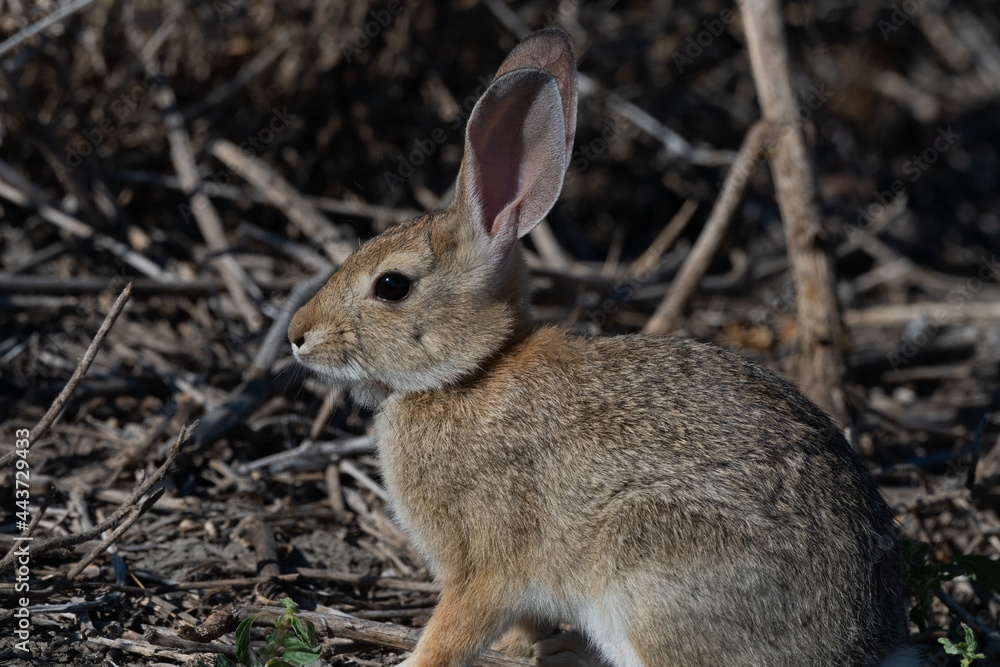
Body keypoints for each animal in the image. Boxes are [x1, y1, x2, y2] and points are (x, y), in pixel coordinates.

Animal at [288, 28, 919, 667]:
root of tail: (861, 646)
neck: (470, 372)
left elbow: (455, 629)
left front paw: (416, 660)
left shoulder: (484, 564)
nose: (297, 334)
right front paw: (521, 648)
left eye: (392, 286)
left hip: (647, 567)